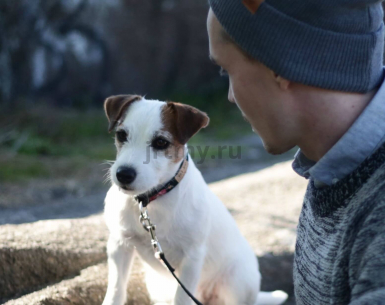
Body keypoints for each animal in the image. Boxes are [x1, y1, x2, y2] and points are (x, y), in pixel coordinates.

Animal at [100, 95, 286, 304]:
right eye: (121, 135)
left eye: (161, 142)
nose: (123, 174)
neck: (151, 201)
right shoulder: (119, 245)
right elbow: (116, 289)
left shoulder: (192, 258)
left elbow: (181, 298)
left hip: (238, 281)